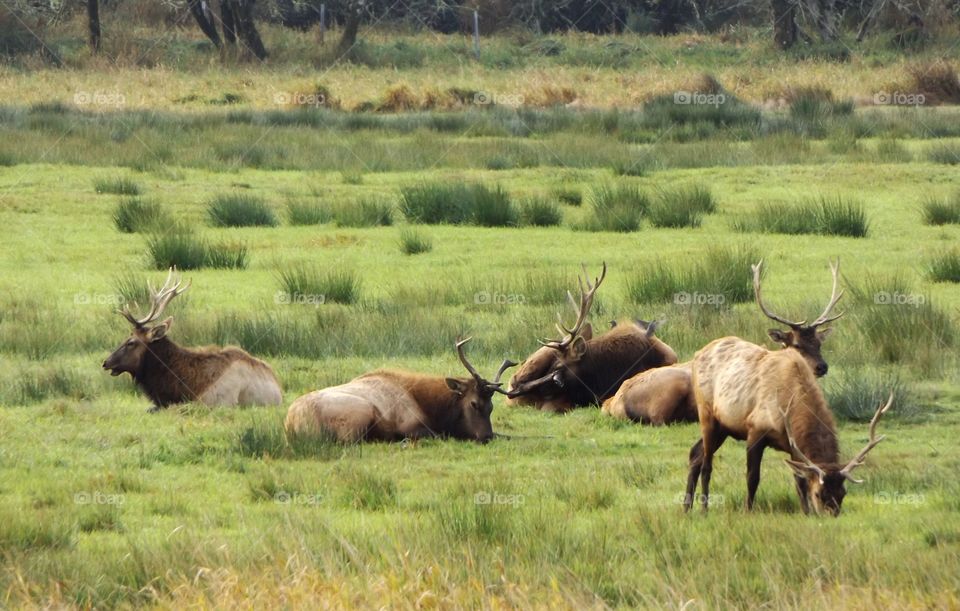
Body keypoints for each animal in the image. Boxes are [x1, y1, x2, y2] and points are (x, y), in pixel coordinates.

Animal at [284, 338, 515, 443]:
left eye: (491, 407)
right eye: (474, 403)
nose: (486, 436)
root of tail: (293, 422)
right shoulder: (413, 426)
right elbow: (441, 435)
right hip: (359, 414)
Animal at [602, 259, 845, 425]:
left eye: (819, 343)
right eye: (796, 345)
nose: (822, 366)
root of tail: (613, 402)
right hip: (670, 387)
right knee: (659, 420)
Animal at [683, 260, 890, 516]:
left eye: (843, 494)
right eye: (820, 494)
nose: (832, 517)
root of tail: (697, 353)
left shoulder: (793, 445)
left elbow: (799, 481)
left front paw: (806, 513)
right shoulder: (755, 429)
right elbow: (753, 477)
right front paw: (748, 510)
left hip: (725, 425)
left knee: (695, 454)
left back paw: (686, 507)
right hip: (707, 414)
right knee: (706, 464)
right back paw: (703, 509)